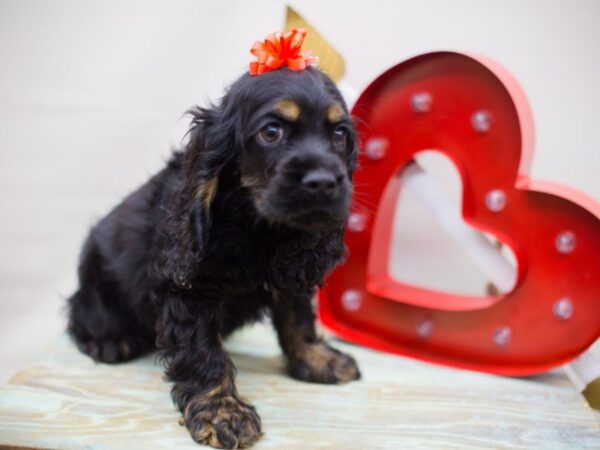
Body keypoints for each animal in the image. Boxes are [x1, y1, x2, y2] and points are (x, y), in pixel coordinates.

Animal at [69, 65, 360, 448]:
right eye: (271, 132)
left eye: (340, 134)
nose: (325, 182)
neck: (259, 228)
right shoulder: (188, 287)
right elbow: (204, 352)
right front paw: (223, 412)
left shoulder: (291, 270)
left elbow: (296, 317)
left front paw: (315, 358)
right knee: (79, 316)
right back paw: (111, 342)